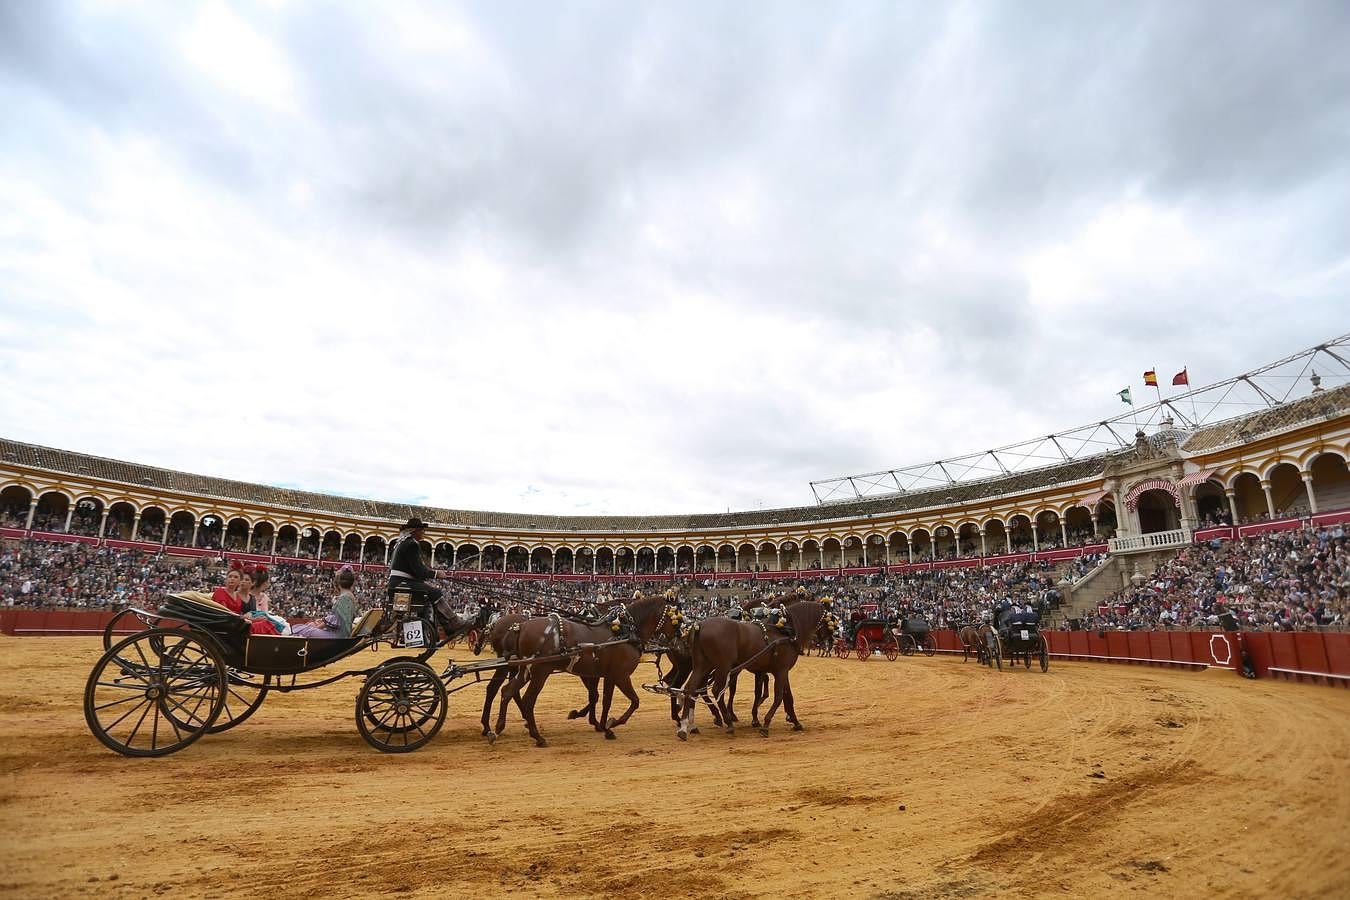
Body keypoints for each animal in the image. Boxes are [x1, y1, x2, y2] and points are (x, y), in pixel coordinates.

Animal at [494, 599, 672, 744]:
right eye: (675, 615)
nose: (677, 634)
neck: (625, 630)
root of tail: (521, 626)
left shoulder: (605, 675)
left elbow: (602, 699)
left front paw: (601, 725)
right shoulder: (620, 675)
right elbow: (633, 701)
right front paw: (611, 724)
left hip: (525, 669)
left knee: (507, 691)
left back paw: (497, 729)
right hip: (540, 672)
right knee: (528, 700)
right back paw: (537, 736)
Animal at [675, 599, 820, 739]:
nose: (818, 641)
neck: (785, 632)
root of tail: (700, 625)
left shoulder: (770, 671)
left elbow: (783, 695)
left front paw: (794, 721)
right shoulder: (781, 671)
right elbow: (778, 696)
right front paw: (765, 724)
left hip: (703, 665)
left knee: (691, 688)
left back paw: (685, 726)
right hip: (722, 666)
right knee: (715, 690)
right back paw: (726, 721)